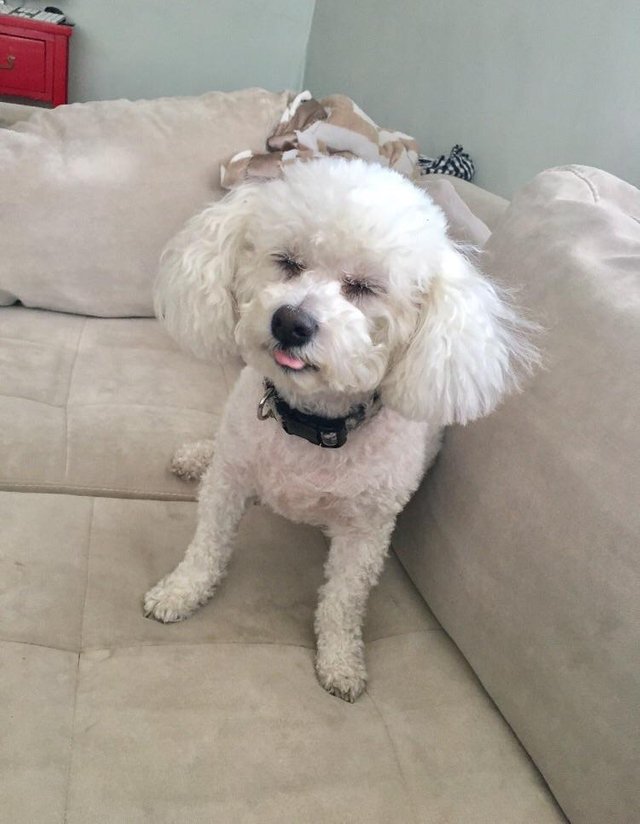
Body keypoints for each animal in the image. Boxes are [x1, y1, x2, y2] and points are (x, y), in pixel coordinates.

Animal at [144, 159, 536, 700]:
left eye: (364, 288)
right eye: (287, 261)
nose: (290, 322)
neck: (308, 423)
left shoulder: (366, 534)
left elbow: (343, 601)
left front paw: (341, 663)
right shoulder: (229, 482)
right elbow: (207, 546)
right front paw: (181, 592)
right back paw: (195, 456)